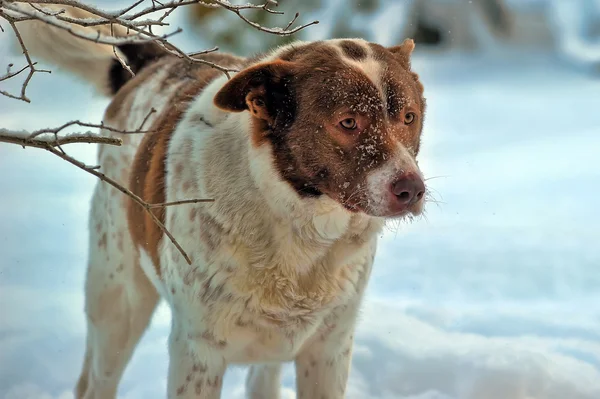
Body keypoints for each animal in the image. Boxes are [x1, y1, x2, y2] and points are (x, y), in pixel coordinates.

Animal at [17, 4, 426, 398]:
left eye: (409, 117)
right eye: (348, 122)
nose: (412, 190)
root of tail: (154, 62)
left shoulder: (329, 350)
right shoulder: (198, 352)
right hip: (118, 298)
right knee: (97, 379)